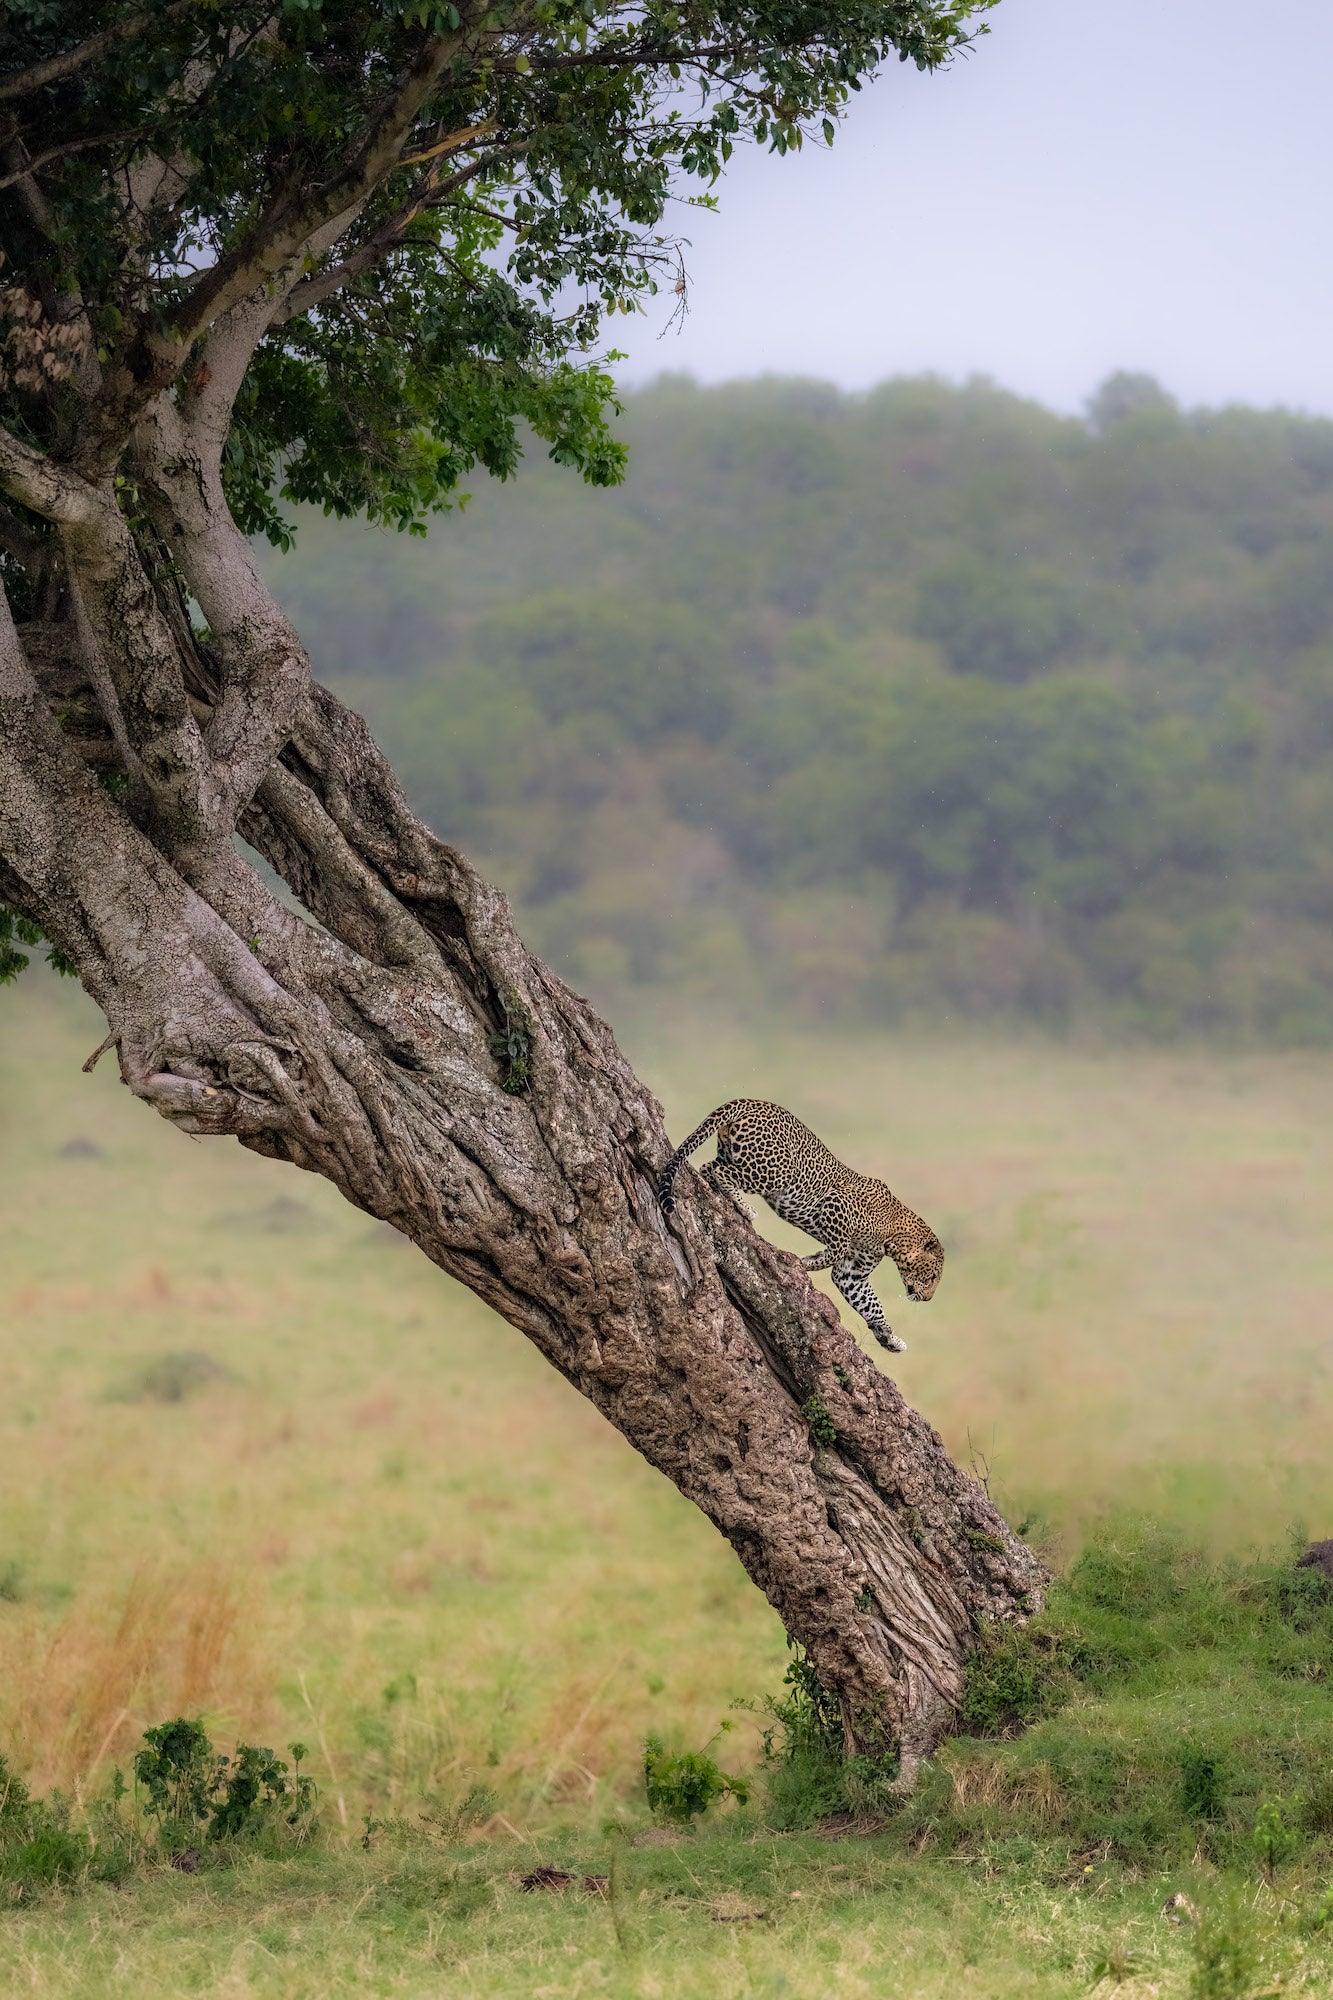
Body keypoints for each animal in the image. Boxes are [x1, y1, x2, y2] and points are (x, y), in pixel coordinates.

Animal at [652, 1096, 932, 1360]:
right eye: (931, 1278)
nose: (928, 1299)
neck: (894, 1234)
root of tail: (749, 1101)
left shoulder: (852, 1273)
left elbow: (870, 1303)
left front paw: (890, 1338)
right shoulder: (837, 1202)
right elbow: (836, 1250)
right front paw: (803, 1263)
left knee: (709, 1167)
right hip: (776, 1171)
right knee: (719, 1170)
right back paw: (745, 1208)